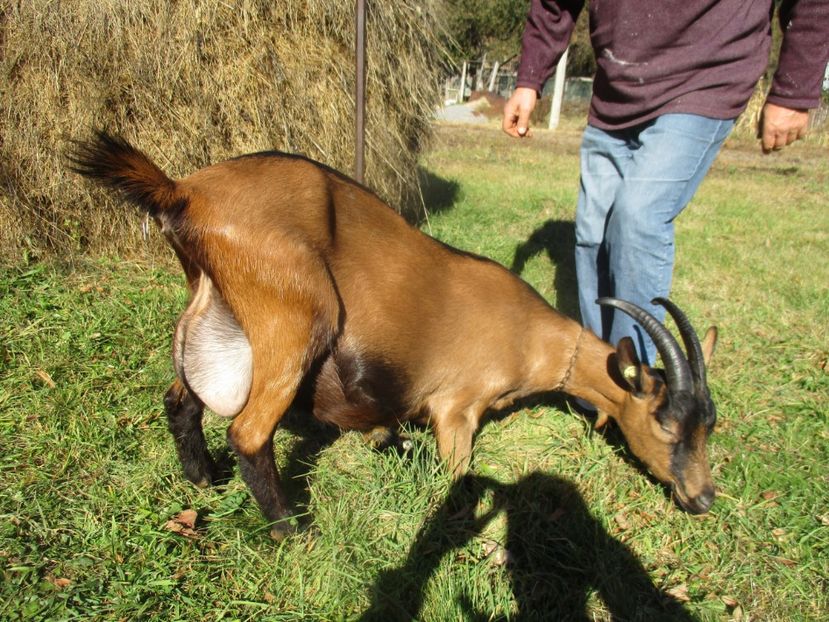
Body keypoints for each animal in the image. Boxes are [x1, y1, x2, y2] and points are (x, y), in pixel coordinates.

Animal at [69, 133, 720, 540]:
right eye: (666, 424)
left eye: (710, 426)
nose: (705, 498)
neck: (533, 336)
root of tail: (183, 191)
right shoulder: (457, 408)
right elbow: (458, 475)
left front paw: (392, 444)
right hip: (298, 315)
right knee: (249, 432)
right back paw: (293, 531)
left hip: (209, 311)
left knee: (181, 398)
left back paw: (203, 479)